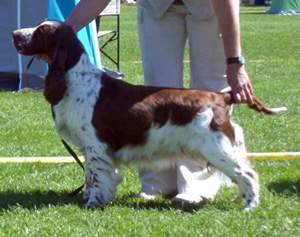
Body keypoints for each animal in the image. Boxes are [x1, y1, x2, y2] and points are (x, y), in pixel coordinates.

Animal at [12, 20, 288, 211]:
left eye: (41, 31)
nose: (15, 34)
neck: (74, 79)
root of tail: (222, 97)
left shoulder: (96, 146)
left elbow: (96, 178)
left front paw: (92, 203)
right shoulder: (92, 148)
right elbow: (91, 177)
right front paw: (90, 199)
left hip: (217, 149)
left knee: (249, 175)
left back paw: (250, 207)